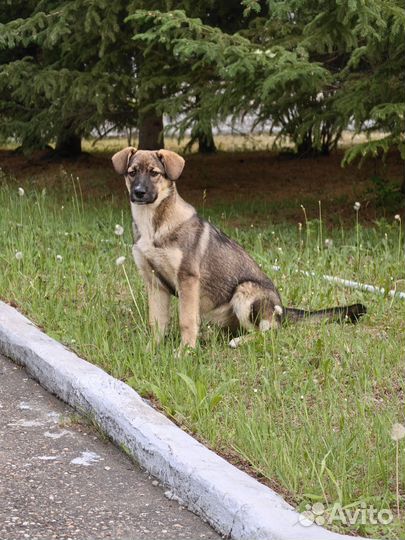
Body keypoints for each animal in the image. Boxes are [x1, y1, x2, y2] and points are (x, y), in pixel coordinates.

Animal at [111, 148, 366, 350]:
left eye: (154, 173)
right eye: (132, 172)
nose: (139, 193)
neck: (154, 225)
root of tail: (282, 309)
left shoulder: (188, 279)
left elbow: (186, 321)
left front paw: (184, 352)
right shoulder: (154, 282)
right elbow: (157, 322)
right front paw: (152, 349)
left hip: (245, 292)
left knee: (268, 333)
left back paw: (237, 342)